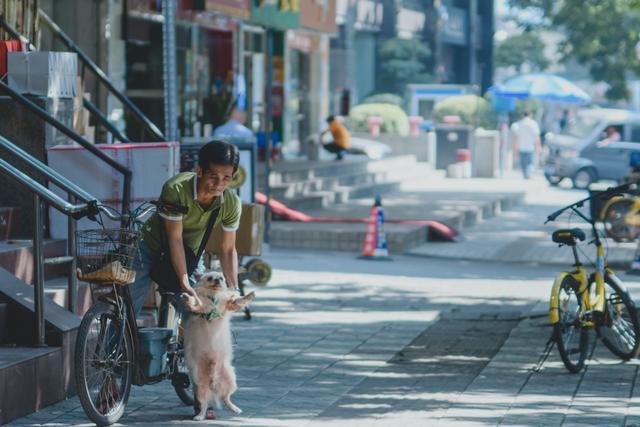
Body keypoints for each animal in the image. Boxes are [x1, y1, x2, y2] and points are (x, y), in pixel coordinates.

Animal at [180, 270, 255, 422]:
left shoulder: (227, 305)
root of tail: (212, 384)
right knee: (204, 403)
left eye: (221, 278)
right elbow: (196, 303)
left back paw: (234, 408)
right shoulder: (202, 307)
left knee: (226, 398)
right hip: (200, 387)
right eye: (210, 278)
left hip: (230, 379)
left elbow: (237, 301)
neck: (213, 297)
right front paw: (187, 298)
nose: (217, 280)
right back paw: (200, 416)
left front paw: (247, 295)